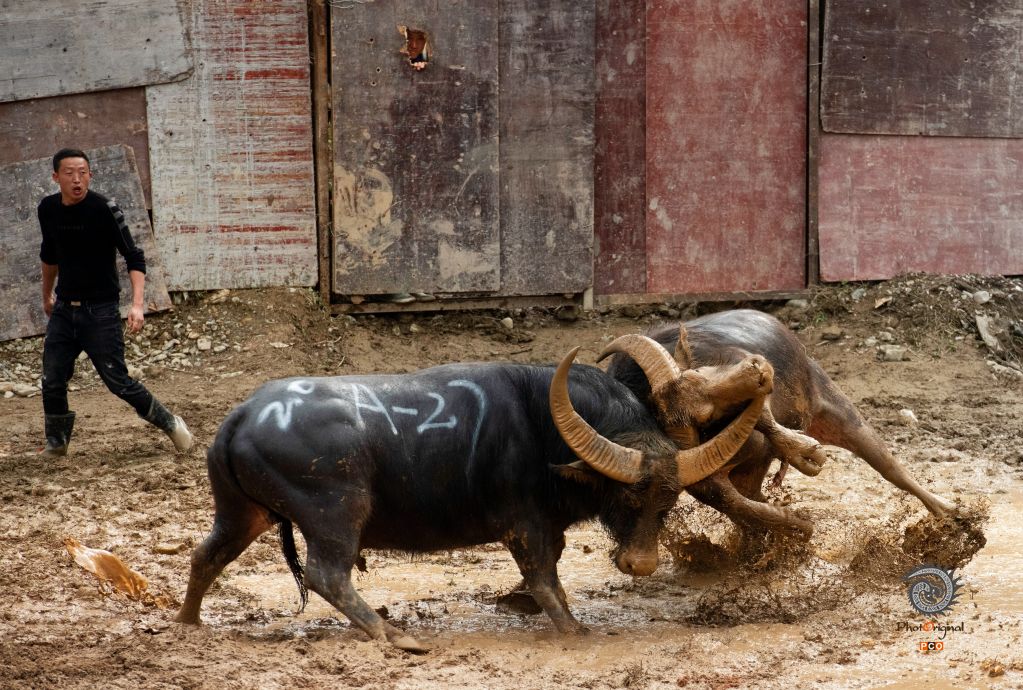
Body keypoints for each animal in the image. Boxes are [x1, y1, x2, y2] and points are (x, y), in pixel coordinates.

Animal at [175, 348, 771, 651]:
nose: (641, 564)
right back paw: (393, 634)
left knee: (206, 555)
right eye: (625, 497)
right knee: (327, 574)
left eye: (666, 504)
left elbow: (545, 573)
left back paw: (188, 622)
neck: (541, 427)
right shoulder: (525, 526)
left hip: (242, 513)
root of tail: (241, 417)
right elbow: (545, 578)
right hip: (335, 514)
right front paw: (573, 627)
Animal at [603, 309, 957, 536]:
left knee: (889, 465)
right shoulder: (706, 476)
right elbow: (739, 506)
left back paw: (951, 513)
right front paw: (790, 530)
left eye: (700, 374)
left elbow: (767, 424)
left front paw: (804, 452)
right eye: (702, 416)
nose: (757, 369)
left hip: (835, 406)